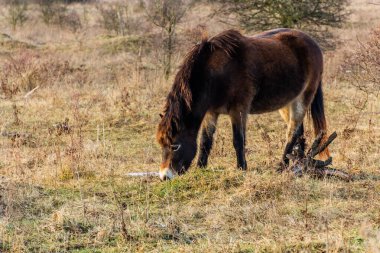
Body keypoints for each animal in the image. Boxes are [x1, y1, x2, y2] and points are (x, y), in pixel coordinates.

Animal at [156, 28, 328, 180]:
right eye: (161, 144)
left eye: (175, 145)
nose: (165, 176)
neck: (215, 73)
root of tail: (312, 43)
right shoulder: (211, 112)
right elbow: (206, 141)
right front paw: (200, 167)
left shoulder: (238, 110)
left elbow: (238, 140)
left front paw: (241, 168)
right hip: (287, 103)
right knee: (298, 132)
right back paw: (297, 162)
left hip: (303, 99)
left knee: (291, 133)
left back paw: (282, 165)